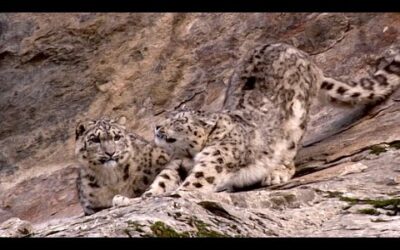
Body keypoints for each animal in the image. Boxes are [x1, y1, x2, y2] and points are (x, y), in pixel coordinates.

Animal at [142, 43, 400, 195]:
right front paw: (144, 197)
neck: (191, 154)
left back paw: (276, 173)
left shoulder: (215, 161)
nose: (156, 126)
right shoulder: (177, 163)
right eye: (167, 117)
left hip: (296, 122)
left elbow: (196, 182)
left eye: (178, 121)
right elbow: (163, 178)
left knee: (289, 153)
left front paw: (176, 194)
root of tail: (303, 55)